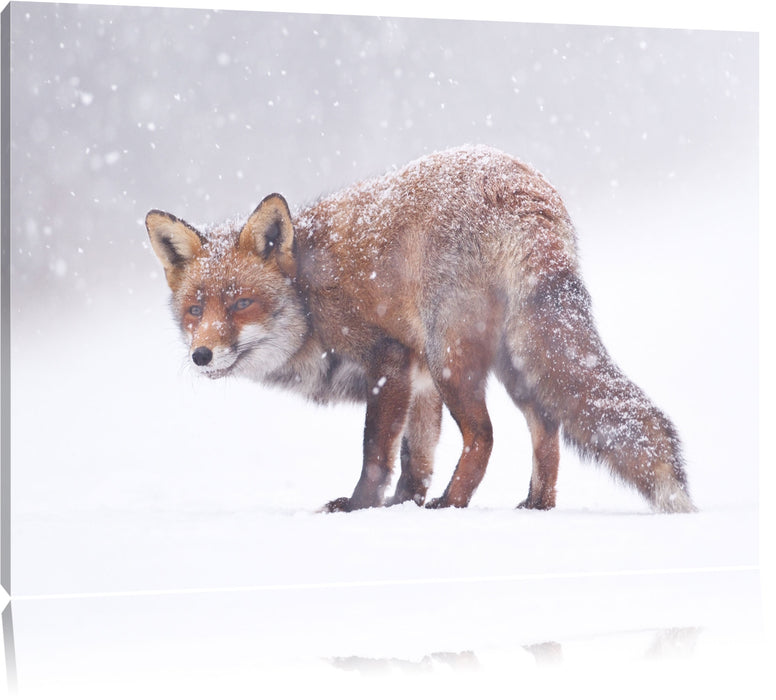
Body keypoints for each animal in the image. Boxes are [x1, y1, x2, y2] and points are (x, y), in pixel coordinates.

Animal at [146, 144, 695, 514]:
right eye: (195, 309)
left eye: (242, 303)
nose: (201, 354)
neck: (309, 294)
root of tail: (520, 187)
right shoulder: (419, 379)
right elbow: (416, 459)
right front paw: (400, 507)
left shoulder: (388, 358)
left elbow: (376, 452)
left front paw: (359, 508)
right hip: (512, 361)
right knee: (546, 427)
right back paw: (535, 505)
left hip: (453, 355)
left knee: (485, 436)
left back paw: (453, 504)